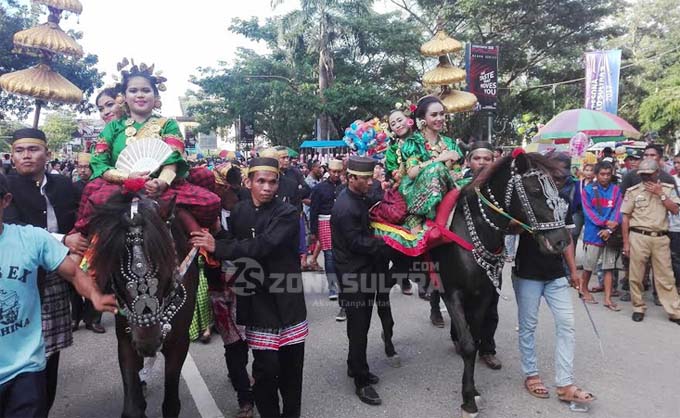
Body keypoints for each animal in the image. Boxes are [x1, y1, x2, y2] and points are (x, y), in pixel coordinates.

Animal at [89, 193, 198, 418]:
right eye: (116, 273)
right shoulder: (126, 342)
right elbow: (132, 408)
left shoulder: (179, 343)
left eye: (166, 266)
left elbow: (171, 405)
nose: (148, 343)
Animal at [428, 152, 572, 416]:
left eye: (558, 190)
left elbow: (474, 340)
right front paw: (468, 400)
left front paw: (473, 390)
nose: (561, 241)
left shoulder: (482, 294)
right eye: (535, 190)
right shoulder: (452, 293)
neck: (474, 230)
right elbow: (468, 345)